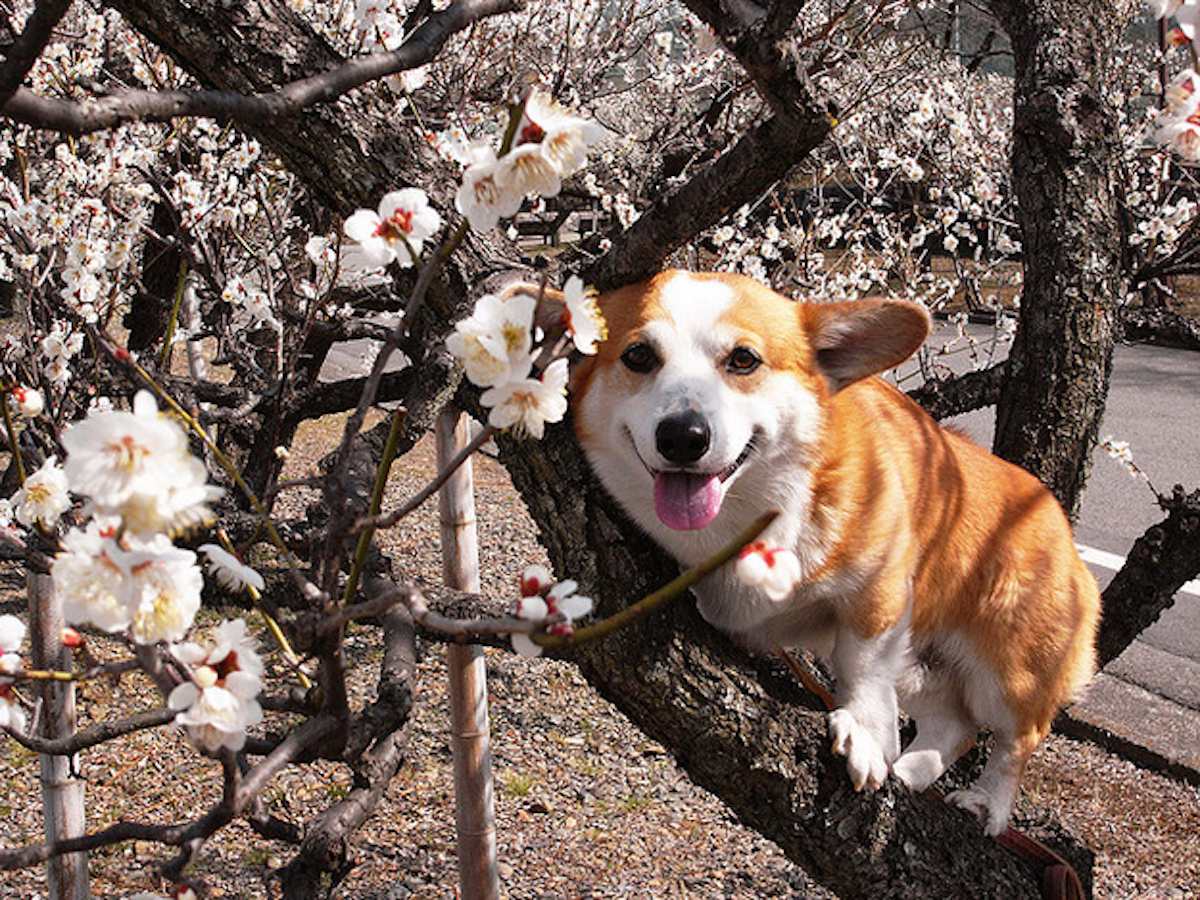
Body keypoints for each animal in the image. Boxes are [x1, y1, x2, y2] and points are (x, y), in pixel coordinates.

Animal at [552, 270, 1099, 840]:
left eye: (743, 359)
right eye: (638, 356)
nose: (683, 436)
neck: (751, 519)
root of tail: (1058, 522)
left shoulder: (879, 592)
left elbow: (862, 663)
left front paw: (865, 734)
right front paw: (883, 751)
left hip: (1009, 674)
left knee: (1018, 738)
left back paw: (988, 804)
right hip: (922, 668)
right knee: (957, 726)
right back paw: (910, 772)